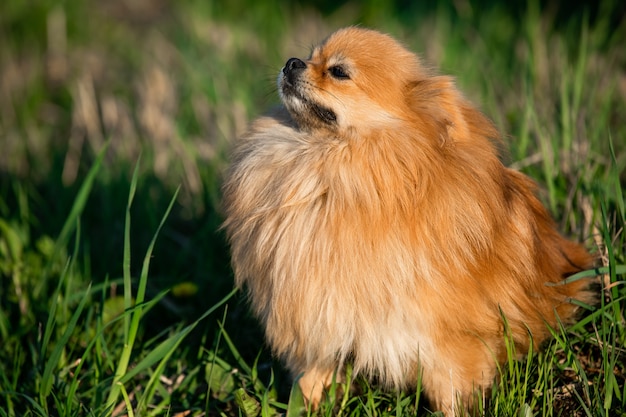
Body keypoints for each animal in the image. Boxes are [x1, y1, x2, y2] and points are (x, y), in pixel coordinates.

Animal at [221, 27, 596, 414]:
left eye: (339, 71)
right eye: (310, 56)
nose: (293, 62)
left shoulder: (447, 344)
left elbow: (453, 393)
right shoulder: (320, 323)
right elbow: (311, 381)